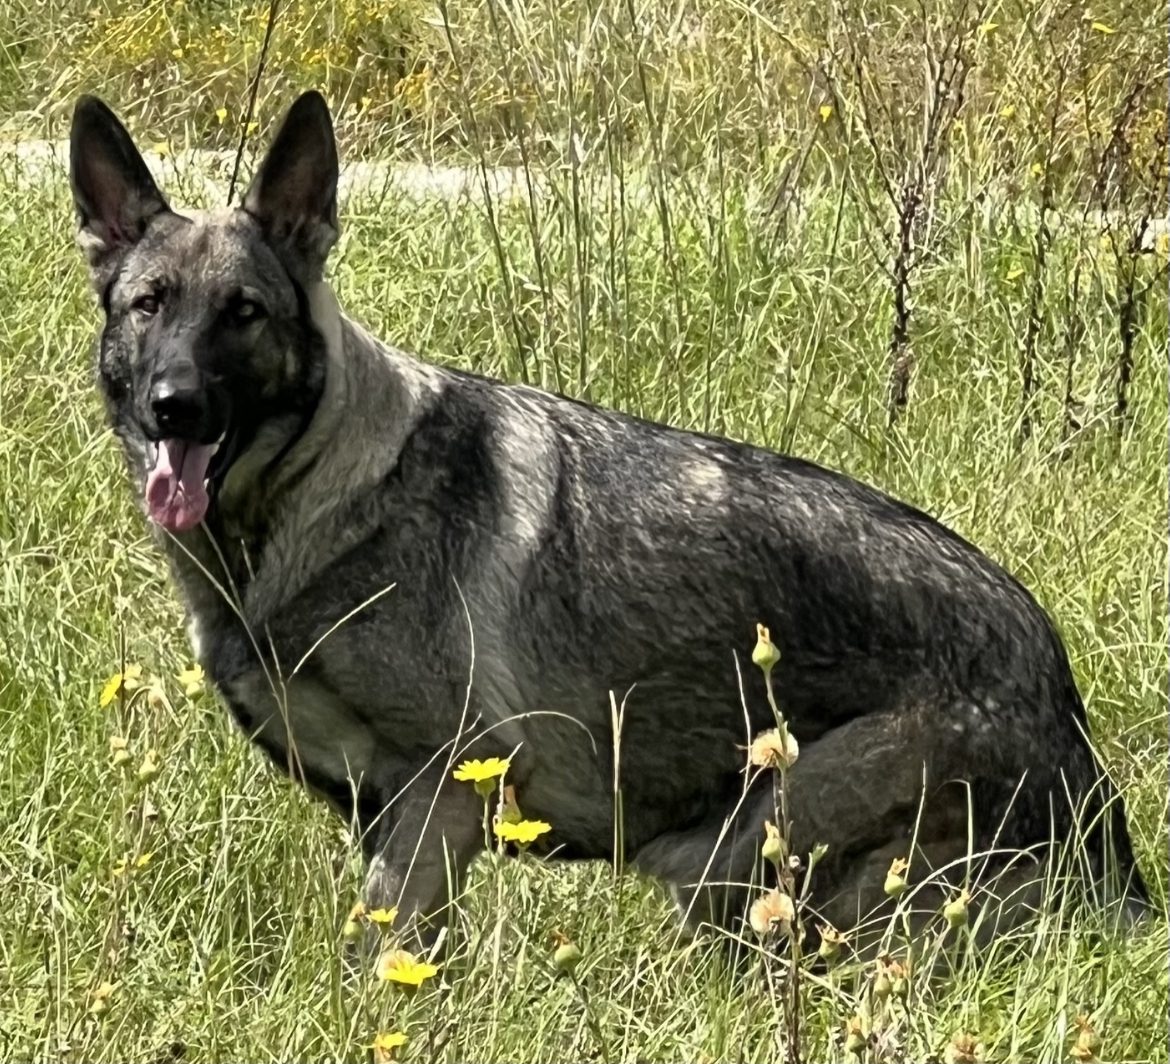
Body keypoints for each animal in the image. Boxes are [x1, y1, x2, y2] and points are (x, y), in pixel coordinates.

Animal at [66, 89, 1151, 955]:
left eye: (244, 312)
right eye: (149, 304)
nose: (174, 407)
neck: (304, 496)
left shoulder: (435, 798)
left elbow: (386, 962)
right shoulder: (386, 813)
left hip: (748, 846)